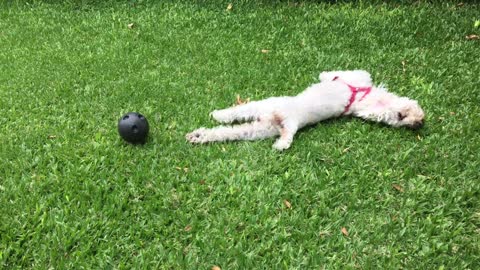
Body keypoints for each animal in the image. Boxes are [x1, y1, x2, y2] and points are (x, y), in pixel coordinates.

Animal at [186, 70, 426, 150]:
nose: (419, 122)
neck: (360, 94)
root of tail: (276, 118)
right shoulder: (353, 78)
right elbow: (331, 74)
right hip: (266, 108)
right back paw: (216, 117)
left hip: (260, 127)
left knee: (229, 129)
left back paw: (201, 134)